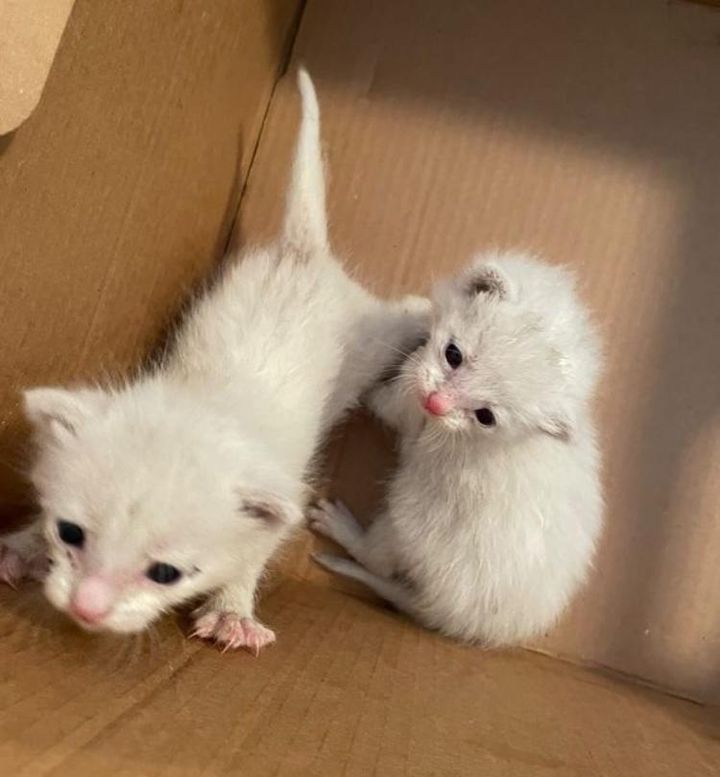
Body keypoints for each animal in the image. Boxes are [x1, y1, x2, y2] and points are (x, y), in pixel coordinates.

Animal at [0, 71, 422, 656]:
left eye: (166, 573)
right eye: (70, 532)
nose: (87, 608)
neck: (204, 404)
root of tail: (300, 254)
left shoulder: (280, 499)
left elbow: (252, 554)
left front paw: (232, 610)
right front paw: (22, 544)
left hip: (370, 340)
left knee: (397, 317)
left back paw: (428, 310)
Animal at [312, 252, 604, 644]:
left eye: (485, 416)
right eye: (453, 354)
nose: (436, 404)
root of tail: (467, 625)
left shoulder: (405, 409)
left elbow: (383, 398)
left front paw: (369, 384)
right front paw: (422, 308)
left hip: (409, 520)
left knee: (378, 562)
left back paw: (340, 526)